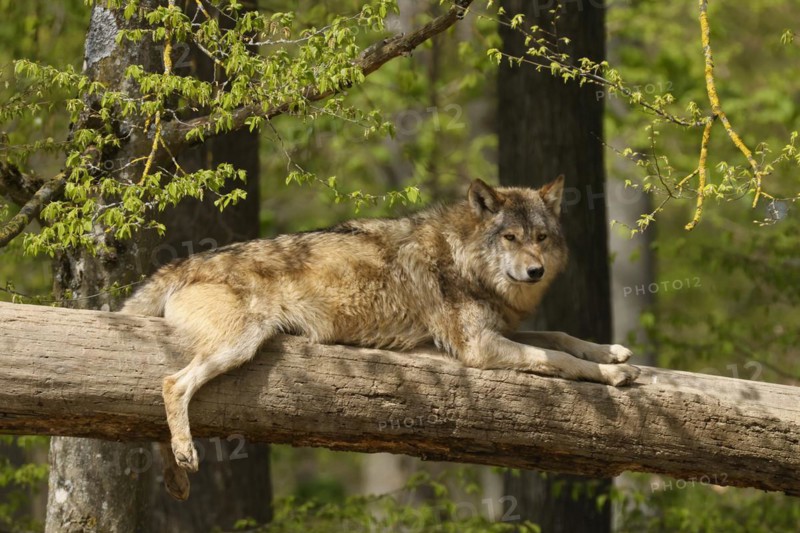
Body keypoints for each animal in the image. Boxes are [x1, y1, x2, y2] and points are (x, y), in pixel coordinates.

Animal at [122, 176, 640, 500]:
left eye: (541, 237)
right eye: (510, 237)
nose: (535, 271)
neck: (464, 259)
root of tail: (179, 263)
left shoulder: (499, 330)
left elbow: (560, 335)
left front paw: (611, 350)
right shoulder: (477, 346)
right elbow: (559, 360)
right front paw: (611, 373)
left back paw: (177, 478)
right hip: (243, 343)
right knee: (172, 384)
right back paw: (185, 452)